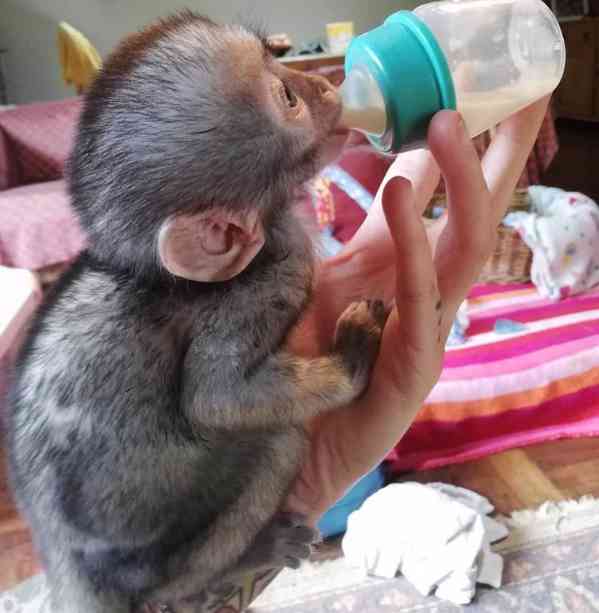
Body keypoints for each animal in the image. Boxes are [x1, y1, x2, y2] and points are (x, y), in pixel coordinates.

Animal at [6, 11, 387, 613]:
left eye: (279, 63)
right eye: (287, 97)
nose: (327, 84)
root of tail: (65, 567)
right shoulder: (261, 285)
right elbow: (215, 398)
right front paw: (352, 362)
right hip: (163, 558)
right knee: (279, 440)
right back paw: (244, 557)